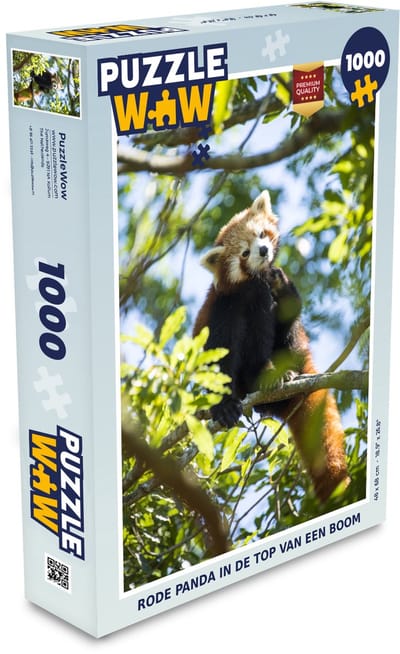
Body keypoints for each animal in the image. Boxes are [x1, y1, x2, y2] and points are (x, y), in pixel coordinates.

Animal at [193, 190, 350, 502]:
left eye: (261, 234)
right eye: (244, 253)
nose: (263, 251)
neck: (253, 283)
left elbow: (287, 306)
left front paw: (282, 287)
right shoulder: (222, 308)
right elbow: (219, 356)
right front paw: (223, 407)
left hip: (294, 348)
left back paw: (279, 374)